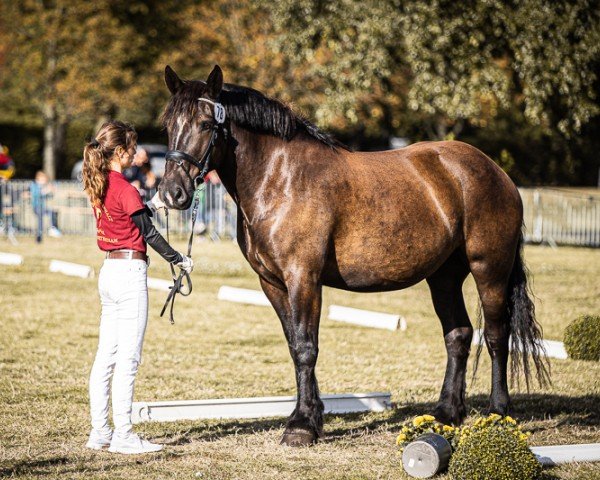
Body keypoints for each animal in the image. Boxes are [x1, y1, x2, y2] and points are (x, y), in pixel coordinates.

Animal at [158, 63, 548, 446]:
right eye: (169, 125)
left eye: (206, 124)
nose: (172, 193)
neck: (281, 179)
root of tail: (496, 172)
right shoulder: (272, 283)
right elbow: (294, 345)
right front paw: (310, 417)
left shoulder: (303, 278)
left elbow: (306, 347)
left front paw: (301, 427)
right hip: (444, 277)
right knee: (459, 334)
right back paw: (445, 413)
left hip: (490, 270)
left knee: (496, 336)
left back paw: (498, 413)